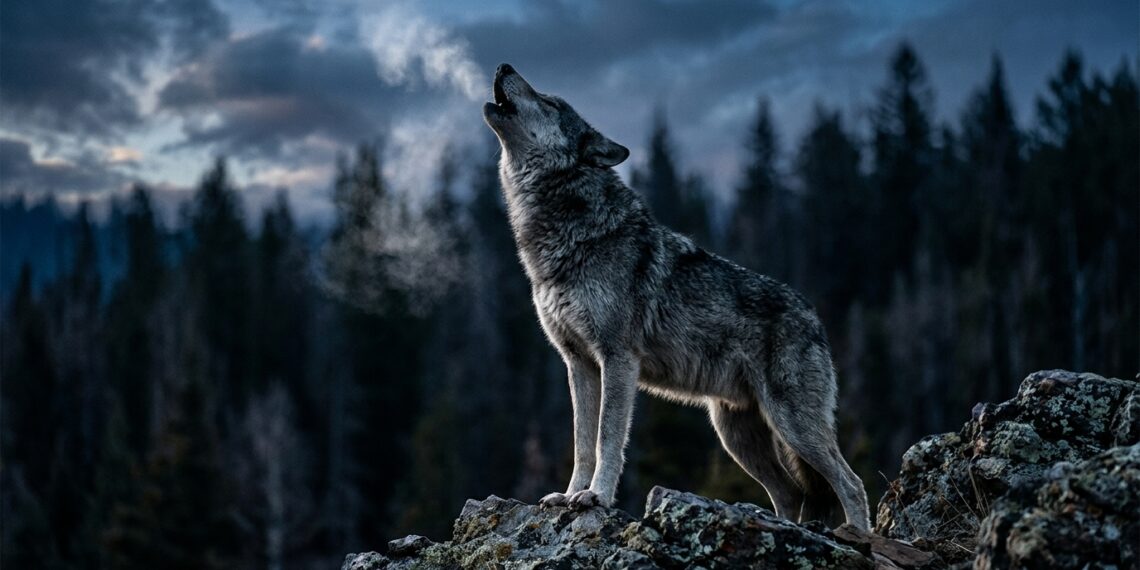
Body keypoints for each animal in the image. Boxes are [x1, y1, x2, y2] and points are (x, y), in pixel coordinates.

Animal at [482, 63, 871, 530]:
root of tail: (815, 318)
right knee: (792, 493)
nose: (503, 66)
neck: (568, 233)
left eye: (550, 102)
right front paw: (569, 494)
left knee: (851, 483)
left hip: (791, 424)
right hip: (735, 435)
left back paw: (860, 536)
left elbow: (607, 437)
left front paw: (596, 497)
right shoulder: (578, 364)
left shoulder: (617, 359)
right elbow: (582, 442)